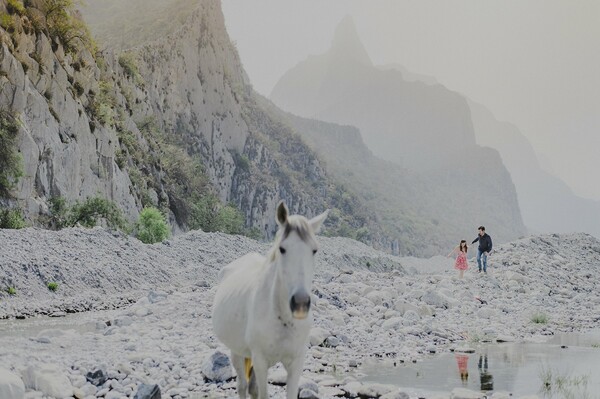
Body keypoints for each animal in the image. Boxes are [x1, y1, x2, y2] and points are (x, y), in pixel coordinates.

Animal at [212, 203, 328, 399]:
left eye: (314, 250)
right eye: (282, 249)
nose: (300, 304)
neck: (284, 320)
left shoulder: (296, 362)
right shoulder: (260, 361)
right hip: (237, 351)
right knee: (242, 386)